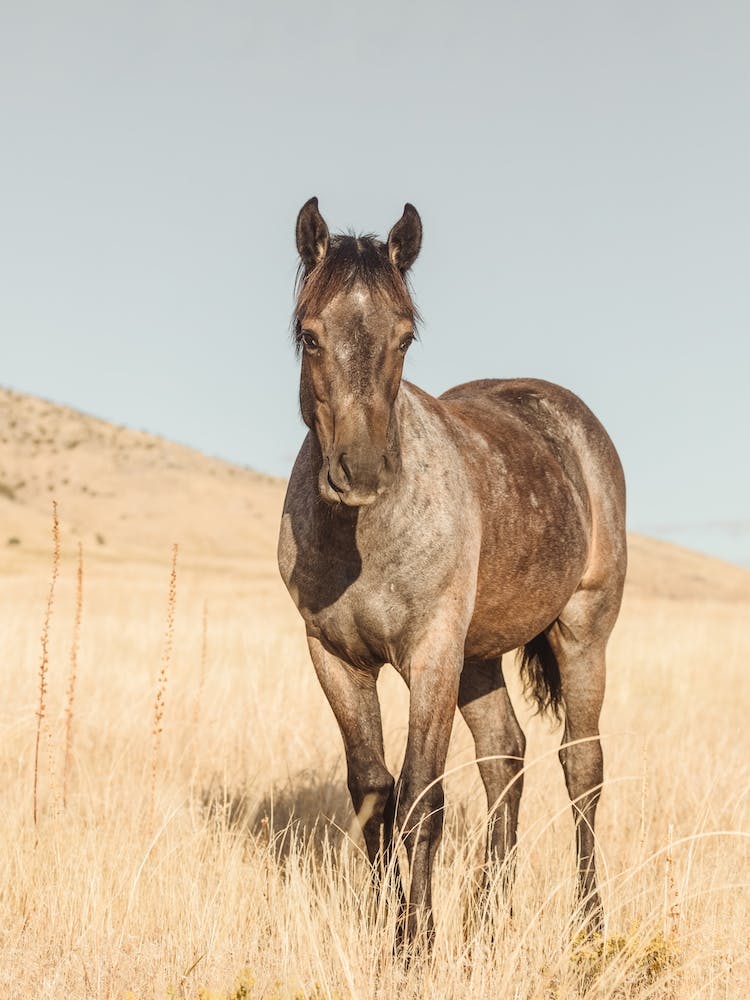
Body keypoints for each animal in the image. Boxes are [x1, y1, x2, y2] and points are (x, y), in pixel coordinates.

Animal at [277, 197, 627, 947]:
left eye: (405, 338)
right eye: (310, 337)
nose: (361, 472)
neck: (363, 543)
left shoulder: (431, 654)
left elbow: (421, 798)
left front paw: (415, 943)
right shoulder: (336, 658)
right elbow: (374, 791)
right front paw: (384, 926)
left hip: (582, 631)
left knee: (581, 765)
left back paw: (588, 927)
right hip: (480, 655)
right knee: (505, 756)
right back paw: (489, 919)